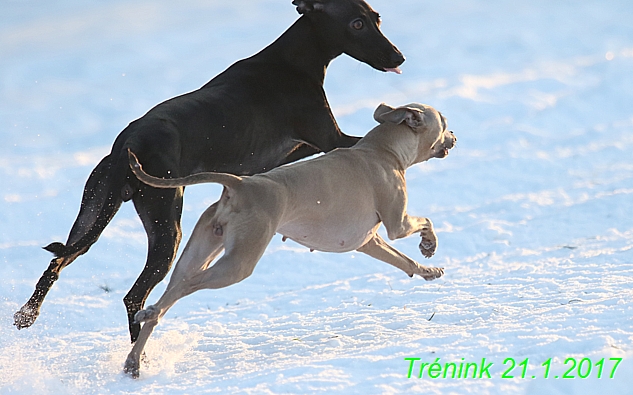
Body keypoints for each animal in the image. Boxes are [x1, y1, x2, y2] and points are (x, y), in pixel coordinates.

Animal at [12, 0, 402, 344]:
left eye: (377, 17)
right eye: (356, 23)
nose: (399, 58)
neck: (292, 61)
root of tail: (126, 144)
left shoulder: (295, 150)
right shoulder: (331, 138)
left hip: (93, 213)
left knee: (57, 262)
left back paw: (26, 315)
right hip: (165, 226)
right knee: (133, 295)